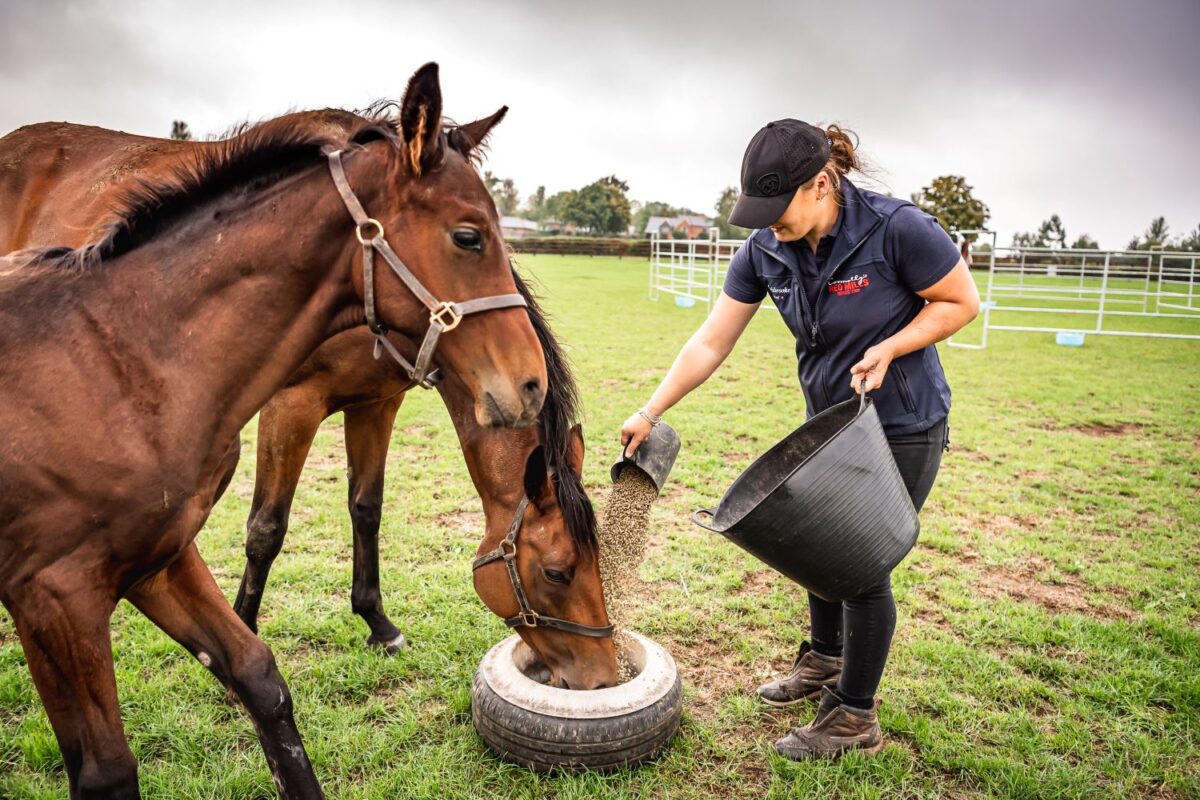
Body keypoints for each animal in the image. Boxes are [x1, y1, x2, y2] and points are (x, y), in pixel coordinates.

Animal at [0, 63, 547, 798]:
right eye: (468, 236)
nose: (530, 383)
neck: (125, 352)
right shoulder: (58, 596)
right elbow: (267, 528)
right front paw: (257, 612)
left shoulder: (373, 403)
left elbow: (360, 514)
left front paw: (377, 622)